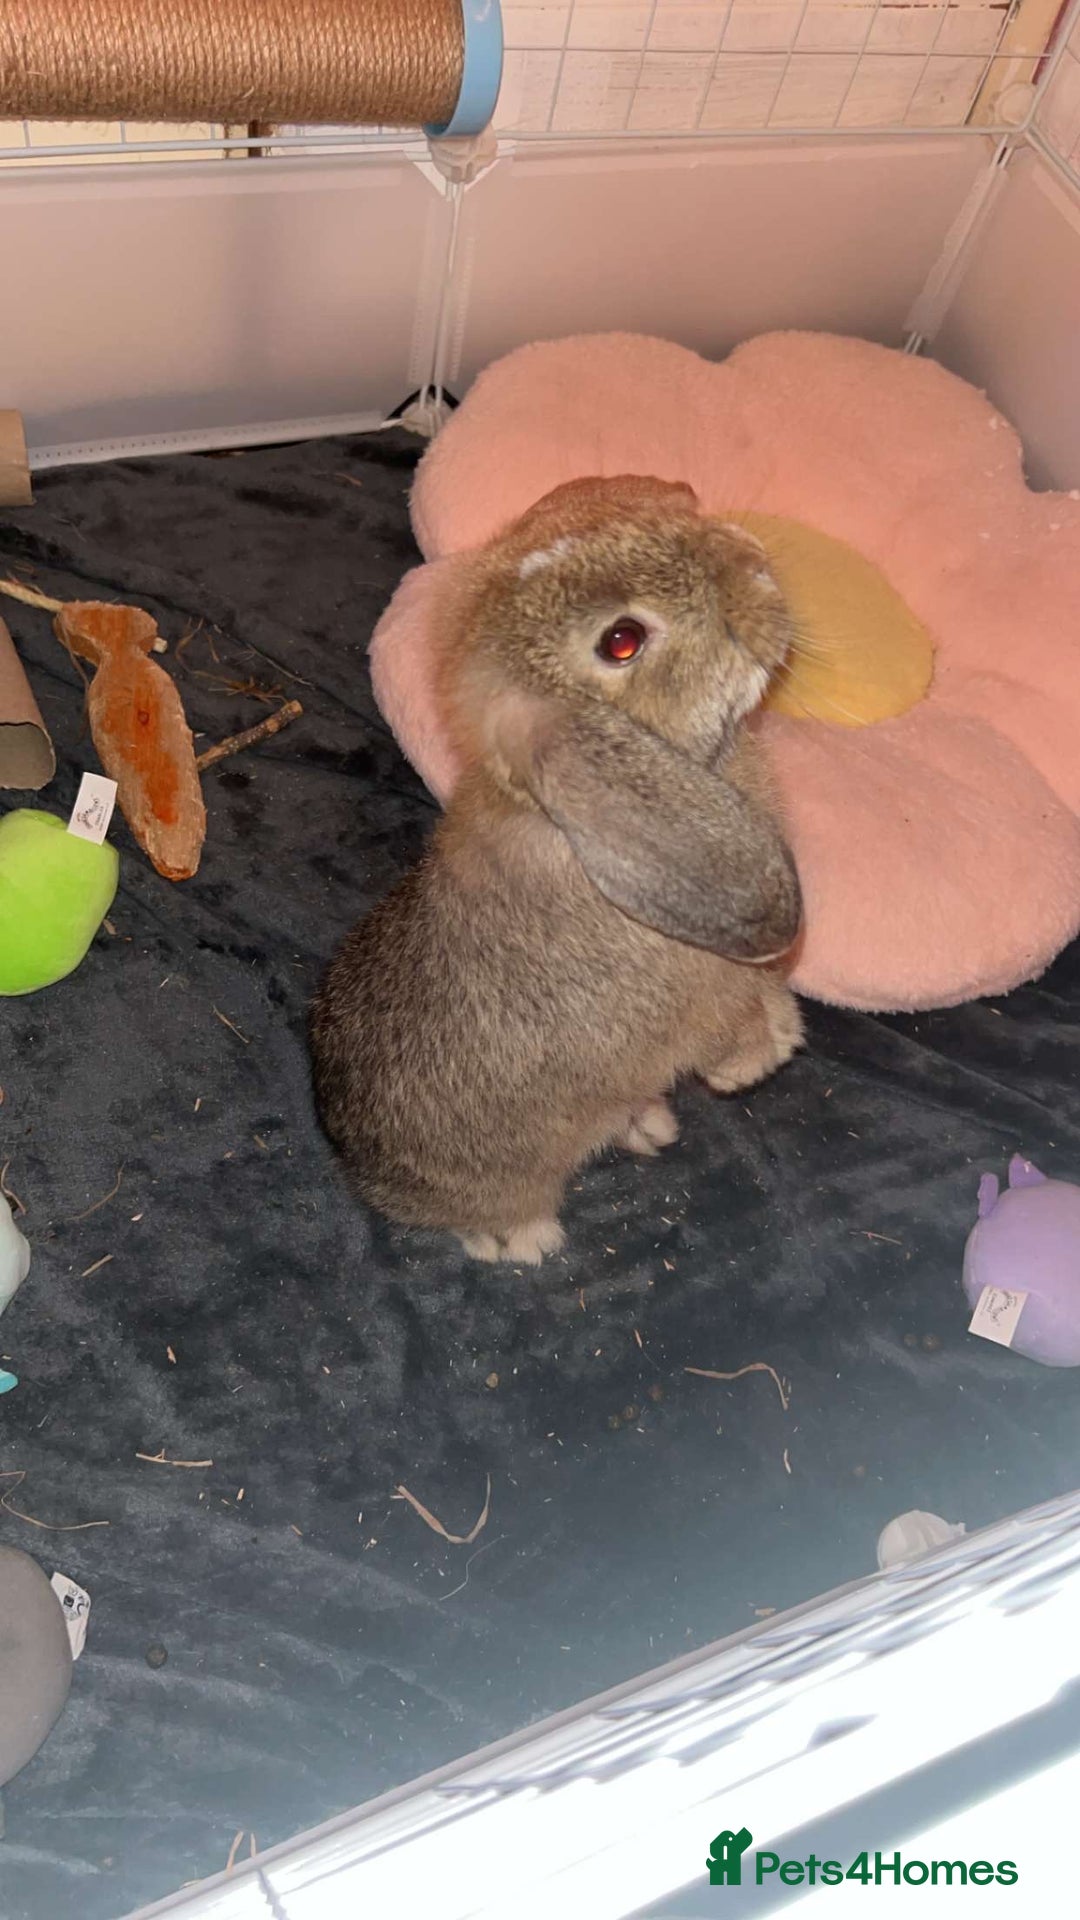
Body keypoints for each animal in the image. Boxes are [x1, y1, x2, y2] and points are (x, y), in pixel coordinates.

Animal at [311, 474, 804, 1264]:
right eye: (622, 641)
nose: (755, 564)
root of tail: (349, 1154)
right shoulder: (691, 1005)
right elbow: (725, 1025)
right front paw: (759, 1059)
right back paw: (517, 1240)